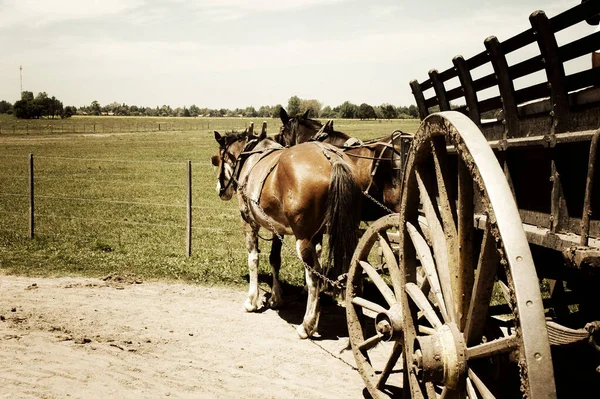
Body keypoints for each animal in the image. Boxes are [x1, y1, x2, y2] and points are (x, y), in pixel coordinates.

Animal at [211, 124, 360, 338]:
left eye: (219, 158)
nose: (220, 189)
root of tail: (333, 159)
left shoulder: (248, 222)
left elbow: (253, 259)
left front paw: (252, 300)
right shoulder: (277, 228)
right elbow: (275, 259)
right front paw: (275, 298)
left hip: (304, 239)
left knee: (314, 277)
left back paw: (307, 325)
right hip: (341, 234)